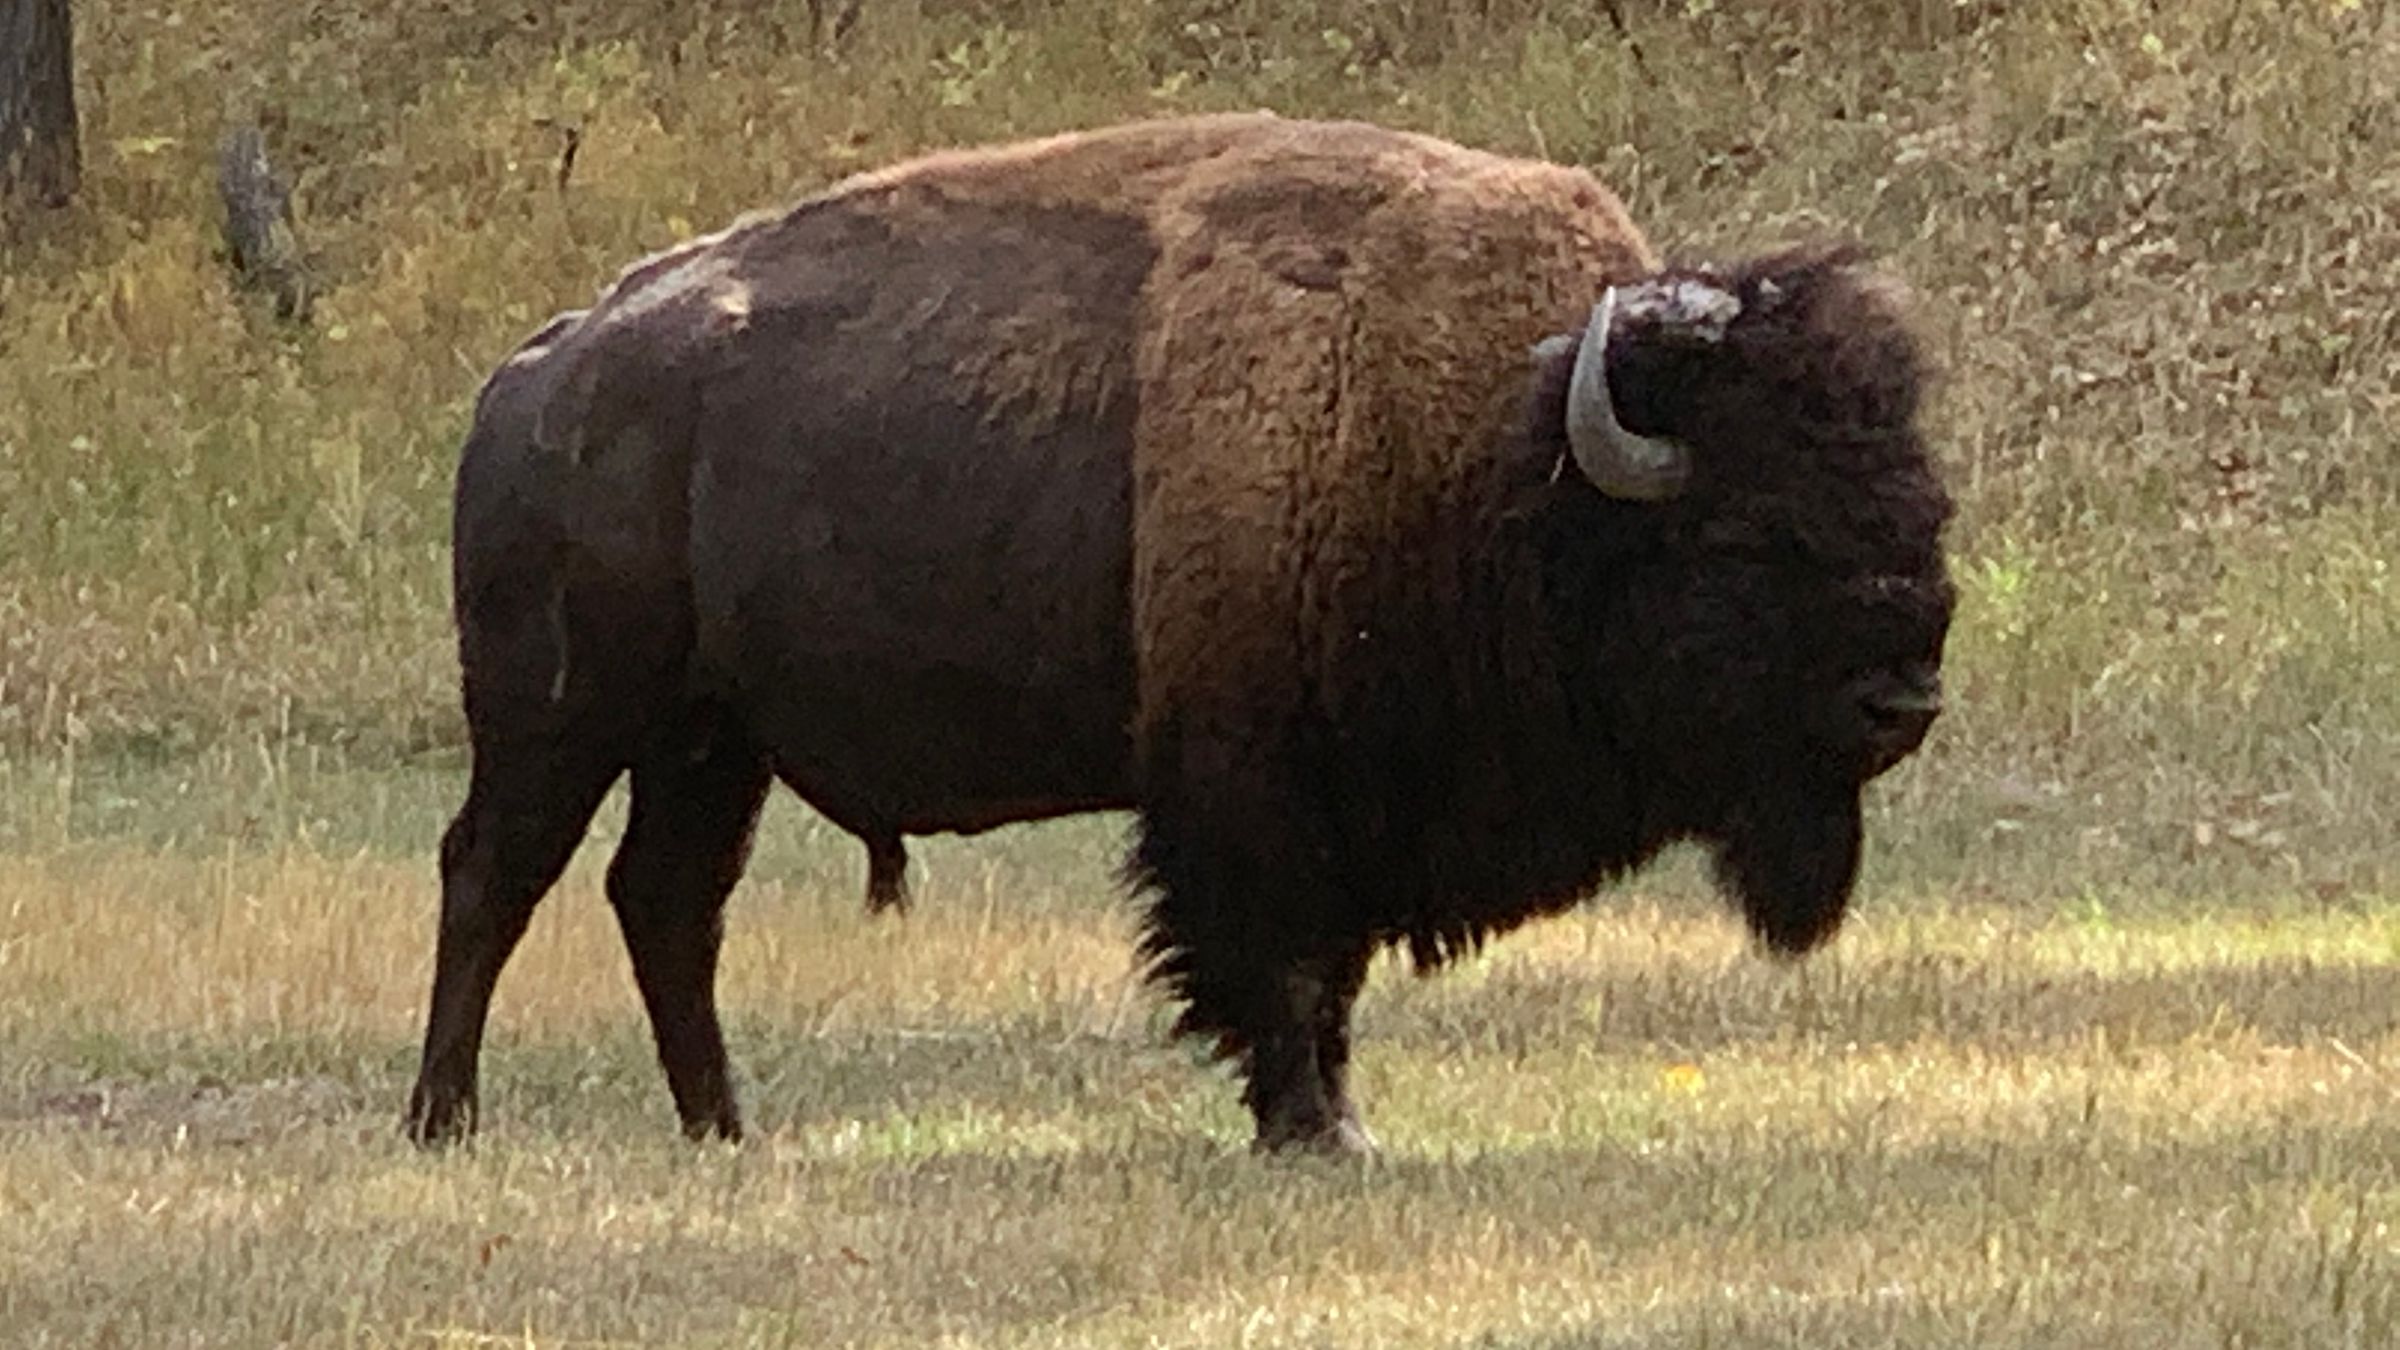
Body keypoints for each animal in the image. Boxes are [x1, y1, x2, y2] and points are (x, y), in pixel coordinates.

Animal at [404, 112, 1954, 1155]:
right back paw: (444, 1119)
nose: (1906, 699)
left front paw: (1331, 1121)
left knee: (666, 903)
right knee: (493, 875)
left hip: (711, 741)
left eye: (1918, 499)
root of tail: (536, 373)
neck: (1498, 457)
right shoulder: (1253, 792)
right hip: (565, 717)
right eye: (1749, 536)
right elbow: (1279, 963)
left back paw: (725, 1128)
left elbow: (1329, 974)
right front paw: (1314, 1129)